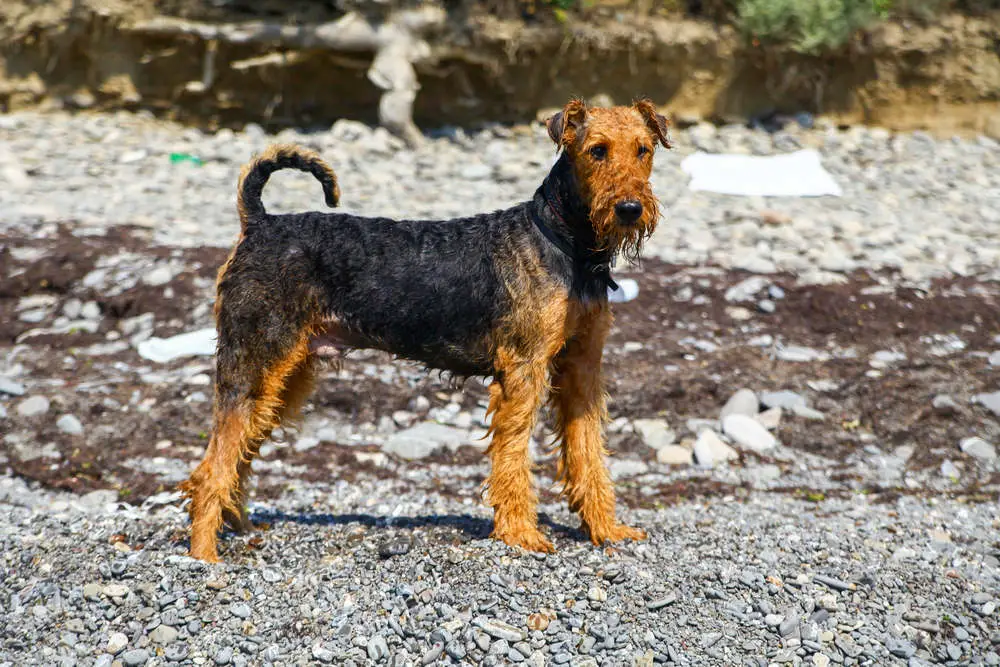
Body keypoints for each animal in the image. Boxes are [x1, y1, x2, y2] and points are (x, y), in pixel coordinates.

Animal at [180, 96, 672, 560]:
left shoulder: (582, 369)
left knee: (239, 455)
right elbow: (513, 456)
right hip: (254, 365)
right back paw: (205, 556)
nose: (630, 209)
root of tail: (259, 223)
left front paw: (607, 530)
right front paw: (521, 535)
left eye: (643, 150)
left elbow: (588, 452)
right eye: (597, 150)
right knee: (209, 469)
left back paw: (240, 528)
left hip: (284, 377)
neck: (566, 245)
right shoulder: (523, 370)